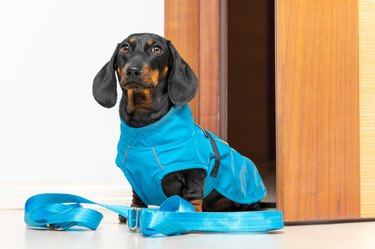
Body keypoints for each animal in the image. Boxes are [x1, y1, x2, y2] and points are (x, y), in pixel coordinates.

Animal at [92, 33, 266, 222]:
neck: (144, 130)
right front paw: (134, 212)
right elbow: (137, 197)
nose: (132, 71)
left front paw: (191, 216)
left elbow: (192, 195)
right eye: (124, 48)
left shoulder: (195, 171)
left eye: (157, 49)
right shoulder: (136, 174)